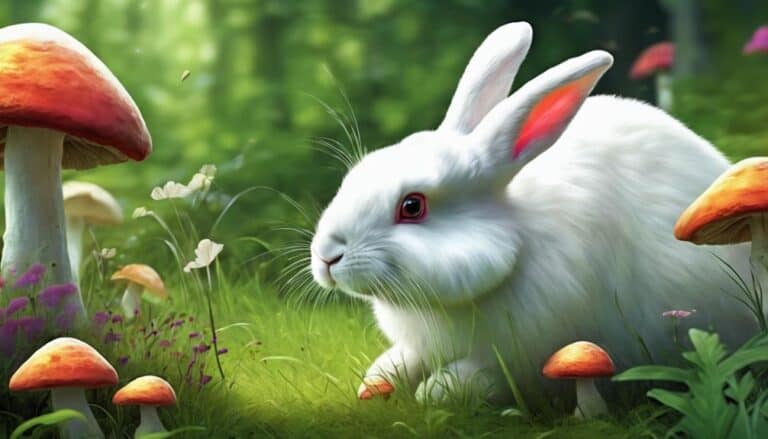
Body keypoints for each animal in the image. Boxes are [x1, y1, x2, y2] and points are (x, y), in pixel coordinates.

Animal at [309, 22, 756, 406]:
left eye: (412, 206)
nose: (327, 256)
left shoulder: (527, 354)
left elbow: (483, 378)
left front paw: (438, 390)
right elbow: (403, 360)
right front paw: (375, 380)